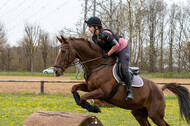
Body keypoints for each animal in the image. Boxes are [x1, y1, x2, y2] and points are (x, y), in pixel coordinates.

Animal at [53, 35, 190, 126]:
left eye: (63, 51)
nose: (56, 71)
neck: (97, 65)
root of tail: (160, 89)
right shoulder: (90, 87)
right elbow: (74, 89)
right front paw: (86, 105)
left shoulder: (103, 92)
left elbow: (84, 97)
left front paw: (93, 108)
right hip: (139, 113)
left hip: (156, 115)